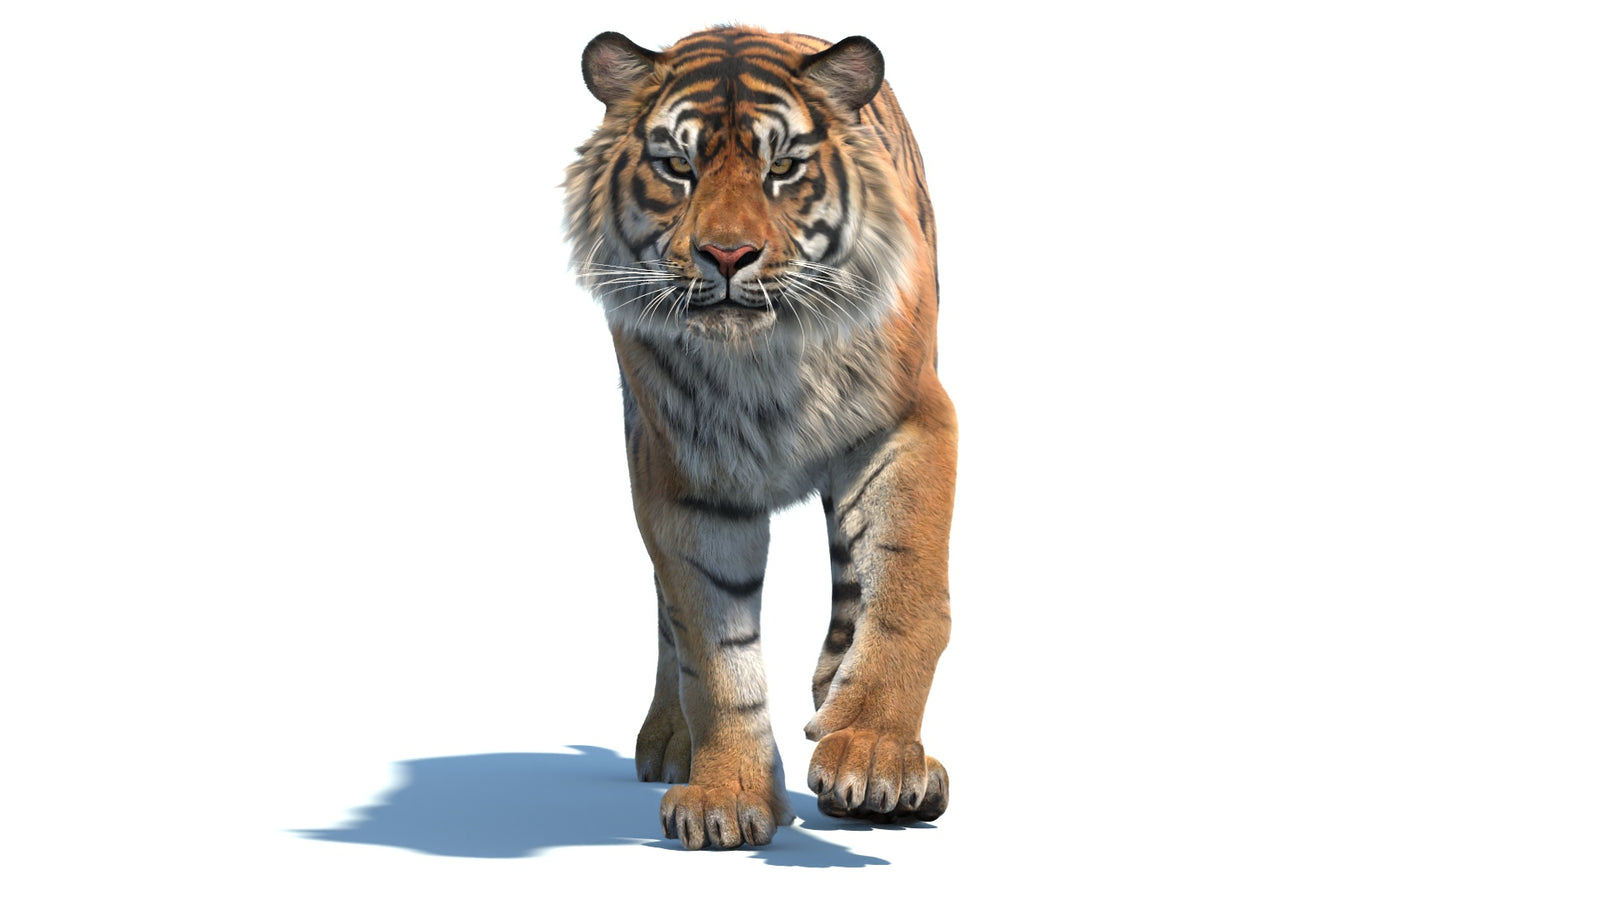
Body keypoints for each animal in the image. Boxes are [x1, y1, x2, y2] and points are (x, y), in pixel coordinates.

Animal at [563, 25, 956, 850]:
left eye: (783, 169)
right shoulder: (682, 475)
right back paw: (670, 741)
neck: (764, 362)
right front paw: (726, 796)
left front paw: (875, 754)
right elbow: (714, 652)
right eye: (677, 168)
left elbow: (904, 595)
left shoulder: (908, 421)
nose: (727, 255)